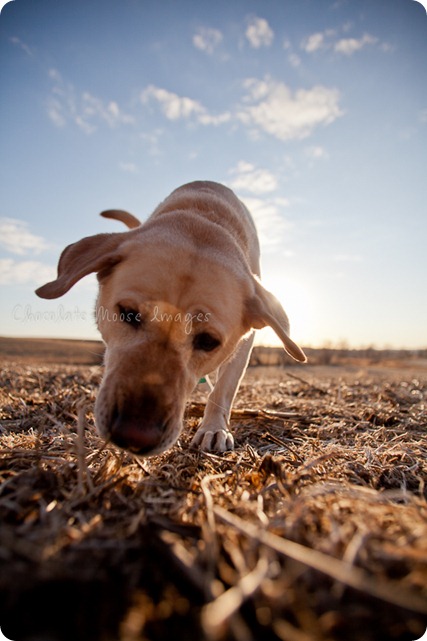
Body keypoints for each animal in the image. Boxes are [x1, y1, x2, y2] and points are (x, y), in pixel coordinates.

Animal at [35, 181, 306, 456]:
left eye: (208, 341)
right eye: (129, 313)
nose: (134, 435)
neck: (203, 220)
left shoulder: (245, 342)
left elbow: (223, 390)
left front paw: (213, 428)